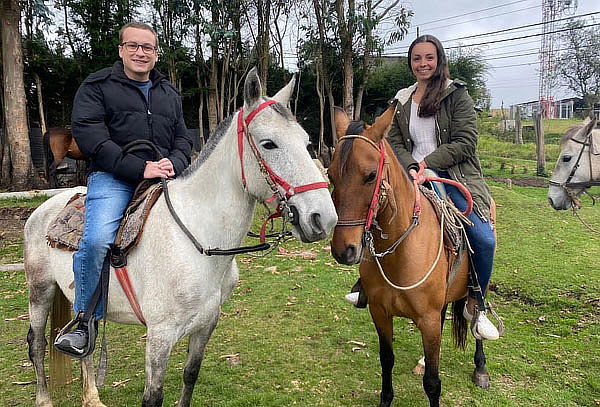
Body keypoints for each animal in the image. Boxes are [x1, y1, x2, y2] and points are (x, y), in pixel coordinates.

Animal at [24, 68, 338, 406]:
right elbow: (153, 396)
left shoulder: (206, 325)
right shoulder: (160, 336)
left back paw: (92, 397)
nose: (323, 218)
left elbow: (190, 375)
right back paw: (44, 398)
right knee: (37, 344)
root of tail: (44, 208)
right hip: (40, 291)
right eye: (269, 144)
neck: (197, 240)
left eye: (306, 142)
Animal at [328, 106, 492, 407]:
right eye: (331, 175)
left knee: (476, 315)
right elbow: (386, 360)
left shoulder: (427, 319)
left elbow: (433, 383)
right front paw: (385, 400)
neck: (399, 252)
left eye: (371, 175)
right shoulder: (379, 312)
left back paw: (481, 367)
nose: (344, 250)